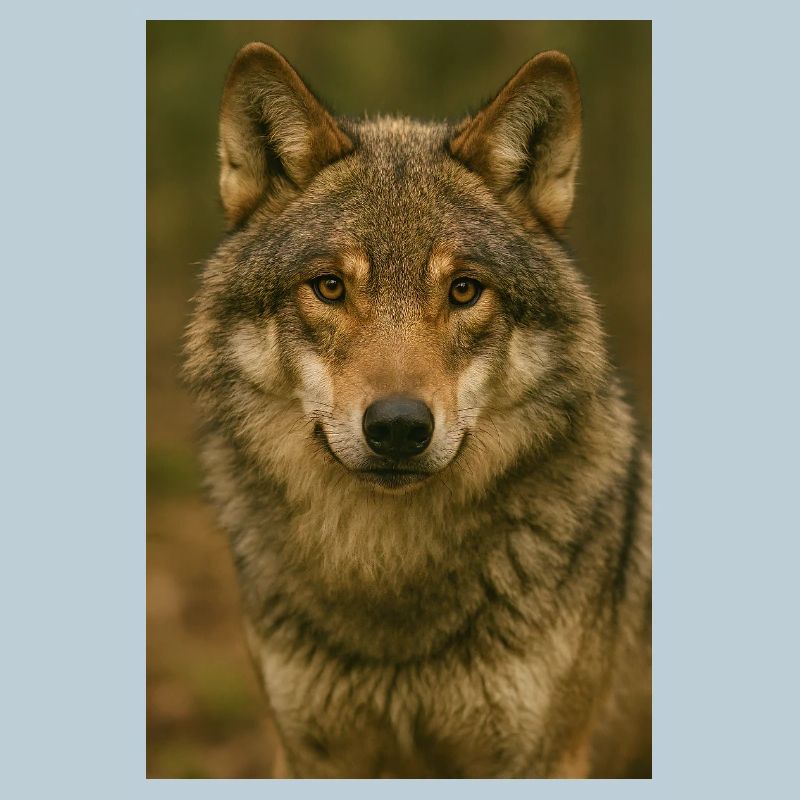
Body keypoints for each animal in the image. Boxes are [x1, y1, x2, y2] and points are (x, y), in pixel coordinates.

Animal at [183, 42, 651, 778]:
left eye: (464, 290)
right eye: (329, 287)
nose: (399, 427)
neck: (390, 579)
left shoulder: (544, 757)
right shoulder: (311, 754)